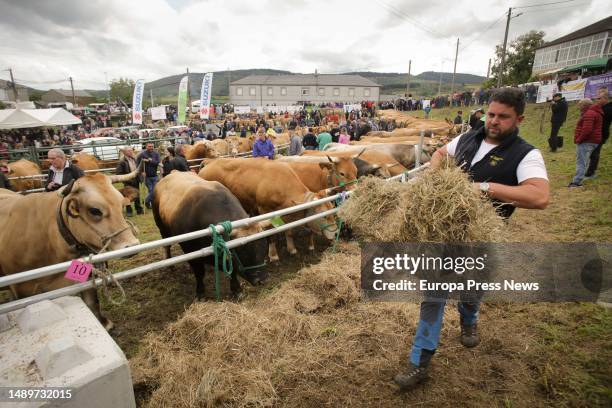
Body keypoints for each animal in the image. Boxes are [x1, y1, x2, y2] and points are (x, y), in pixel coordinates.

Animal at [198, 158, 338, 260]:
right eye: (324, 215)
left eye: (332, 209)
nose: (336, 233)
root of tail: (210, 161)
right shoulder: (264, 210)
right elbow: (271, 234)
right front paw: (273, 255)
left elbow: (289, 231)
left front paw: (292, 249)